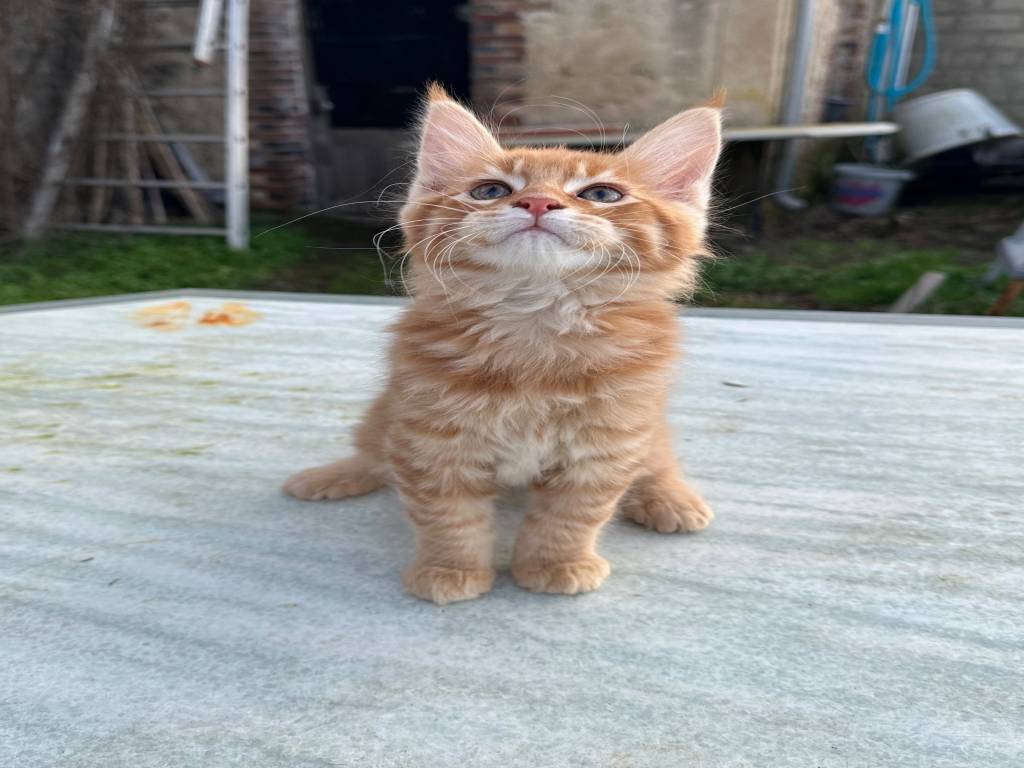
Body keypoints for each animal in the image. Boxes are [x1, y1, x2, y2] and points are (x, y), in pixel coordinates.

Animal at [283, 84, 722, 605]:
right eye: (491, 191)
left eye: (601, 194)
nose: (537, 203)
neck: (535, 326)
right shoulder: (430, 439)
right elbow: (448, 518)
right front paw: (450, 569)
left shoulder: (606, 444)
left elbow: (570, 517)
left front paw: (554, 564)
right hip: (386, 412)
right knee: (373, 453)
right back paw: (331, 475)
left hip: (646, 427)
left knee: (658, 460)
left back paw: (670, 499)